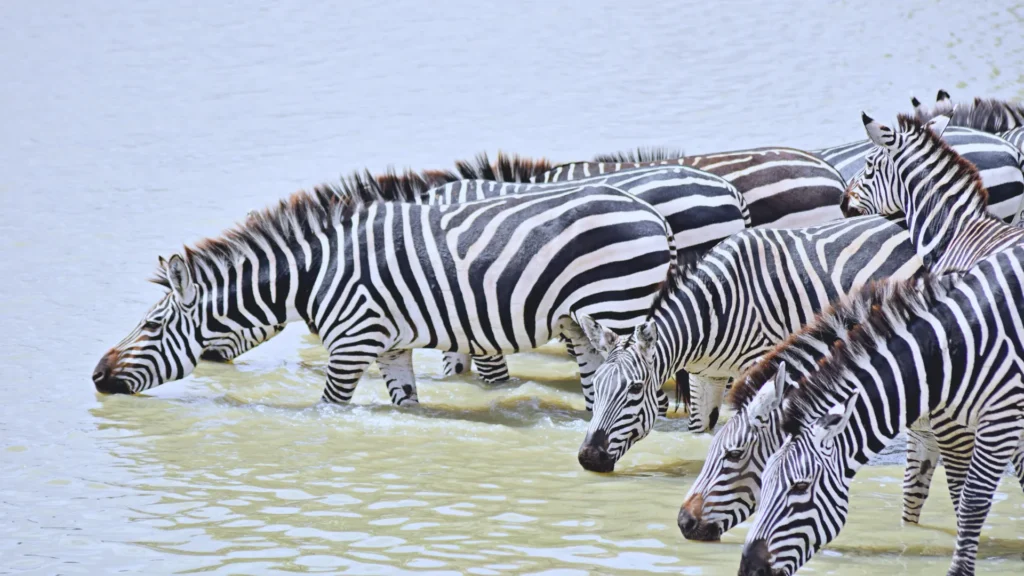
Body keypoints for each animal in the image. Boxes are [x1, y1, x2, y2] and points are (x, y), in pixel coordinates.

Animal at [91, 182, 679, 411]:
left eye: (151, 326)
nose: (96, 376)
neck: (314, 275)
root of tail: (652, 214)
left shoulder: (350, 344)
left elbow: (328, 409)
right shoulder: (391, 345)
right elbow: (406, 404)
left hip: (619, 308)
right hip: (583, 325)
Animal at [570, 214, 925, 471]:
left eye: (633, 388)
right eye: (596, 385)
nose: (588, 458)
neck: (712, 312)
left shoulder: (761, 363)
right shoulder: (706, 377)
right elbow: (700, 430)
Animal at [739, 249, 1024, 576]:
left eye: (801, 486)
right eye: (764, 480)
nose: (749, 569)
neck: (950, 350)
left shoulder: (1000, 418)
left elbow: (972, 503)